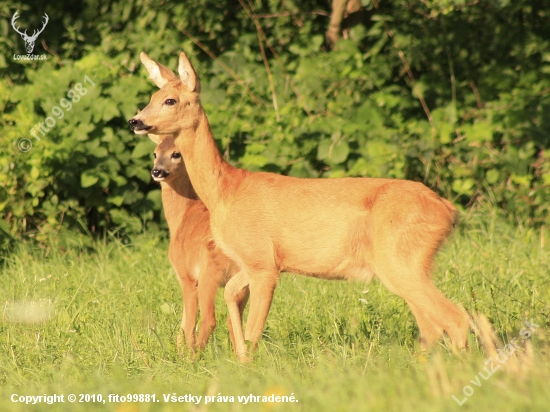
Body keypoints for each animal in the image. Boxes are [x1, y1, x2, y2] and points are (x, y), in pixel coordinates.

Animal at [149, 134, 248, 350]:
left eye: (176, 153)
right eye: (155, 153)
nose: (157, 171)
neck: (182, 216)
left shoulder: (186, 275)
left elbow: (187, 324)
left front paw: (182, 353)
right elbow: (183, 324)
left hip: (208, 274)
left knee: (209, 319)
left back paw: (195, 355)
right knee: (234, 318)